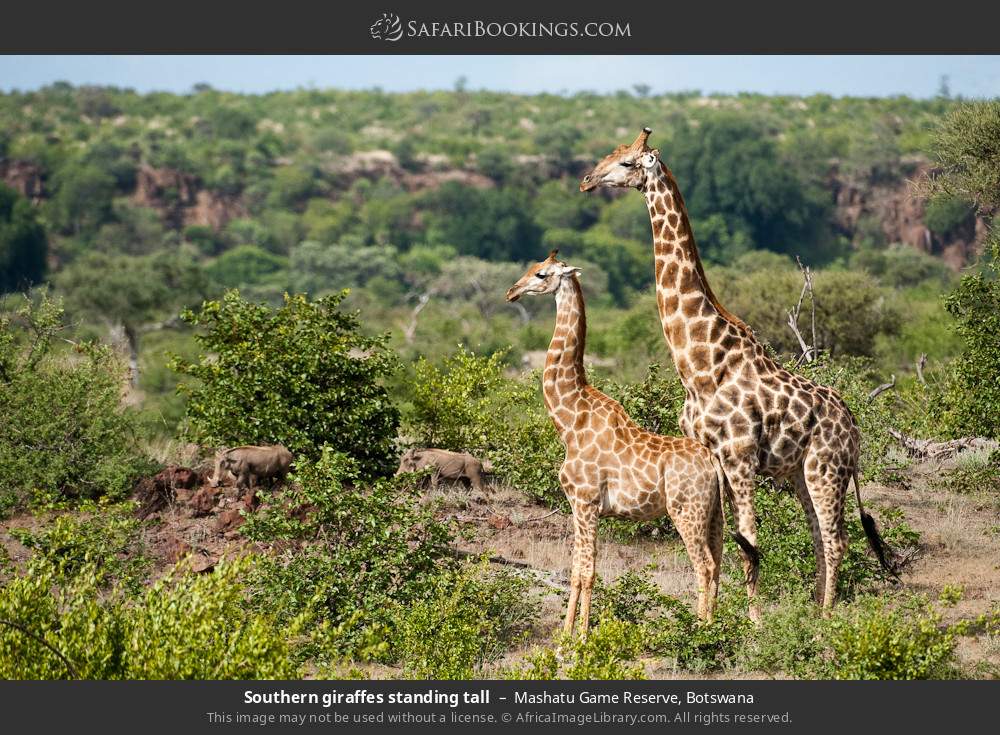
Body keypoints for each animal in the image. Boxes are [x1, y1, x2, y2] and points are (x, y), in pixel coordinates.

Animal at [506, 250, 726, 634]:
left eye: (541, 274)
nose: (511, 293)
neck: (570, 420)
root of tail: (712, 462)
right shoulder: (577, 505)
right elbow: (576, 569)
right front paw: (565, 634)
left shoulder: (586, 501)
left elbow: (588, 572)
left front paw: (580, 637)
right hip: (714, 514)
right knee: (718, 564)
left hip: (687, 510)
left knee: (705, 565)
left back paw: (699, 633)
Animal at [580, 128, 895, 614]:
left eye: (629, 162)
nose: (588, 179)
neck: (699, 366)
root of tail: (855, 428)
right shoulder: (709, 456)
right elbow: (724, 542)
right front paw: (714, 617)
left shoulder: (739, 454)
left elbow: (749, 541)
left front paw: (753, 621)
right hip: (801, 472)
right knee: (818, 536)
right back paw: (812, 611)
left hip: (827, 468)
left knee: (836, 539)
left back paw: (826, 617)